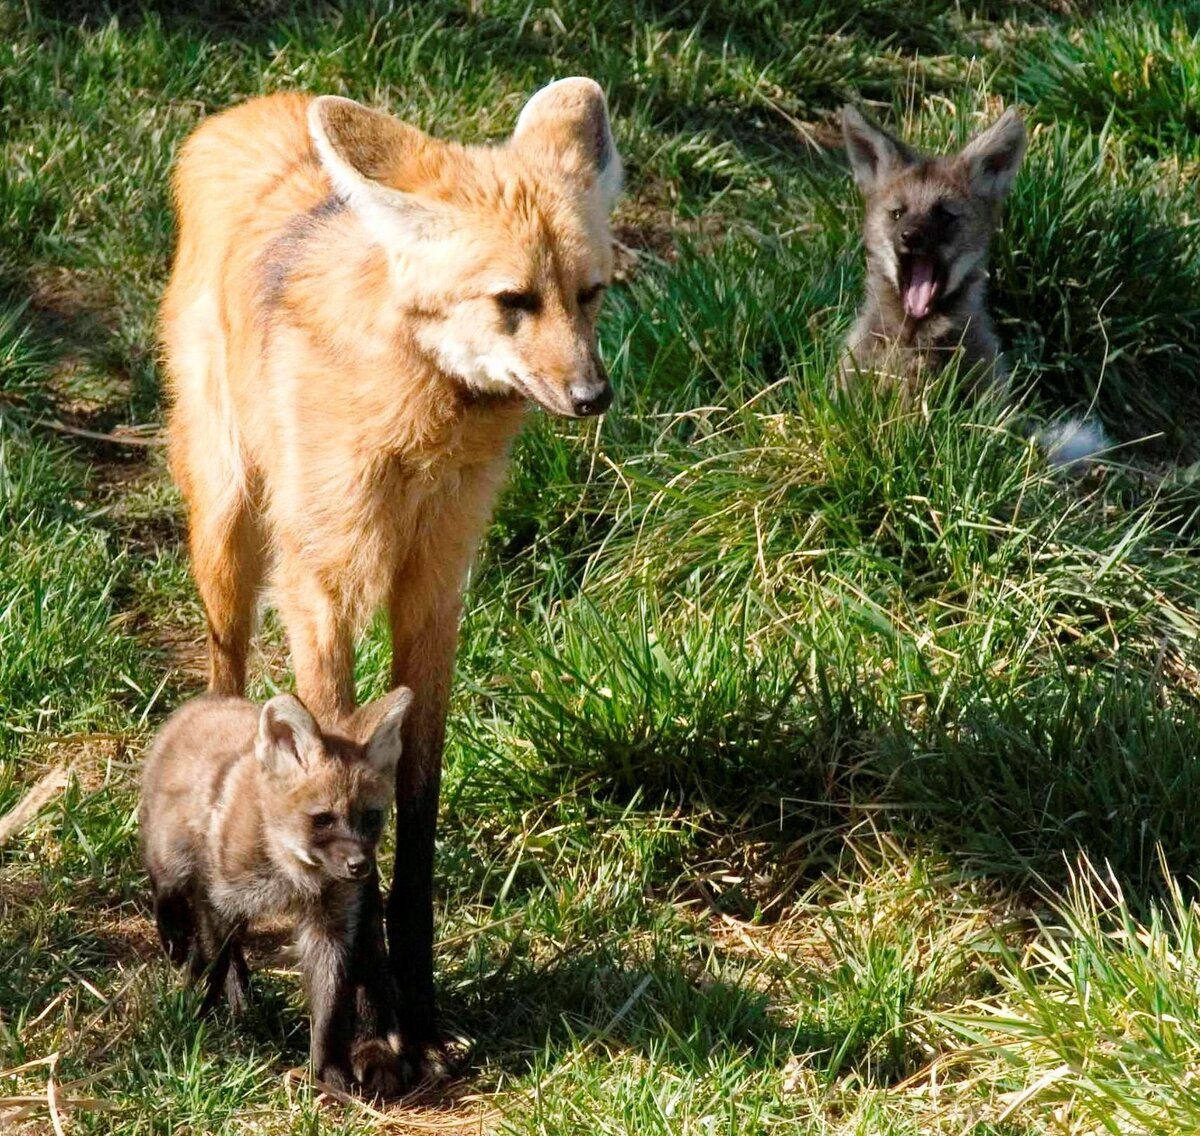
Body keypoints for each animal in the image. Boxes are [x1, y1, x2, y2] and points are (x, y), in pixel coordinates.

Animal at [160, 75, 624, 1070]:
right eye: (513, 300)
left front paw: (418, 1009)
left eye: (590, 295)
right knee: (223, 684)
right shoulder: (322, 592)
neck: (420, 418)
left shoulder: (434, 589)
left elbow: (414, 810)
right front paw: (371, 1014)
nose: (594, 396)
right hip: (229, 531)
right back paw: (226, 960)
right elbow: (336, 779)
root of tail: (251, 106)